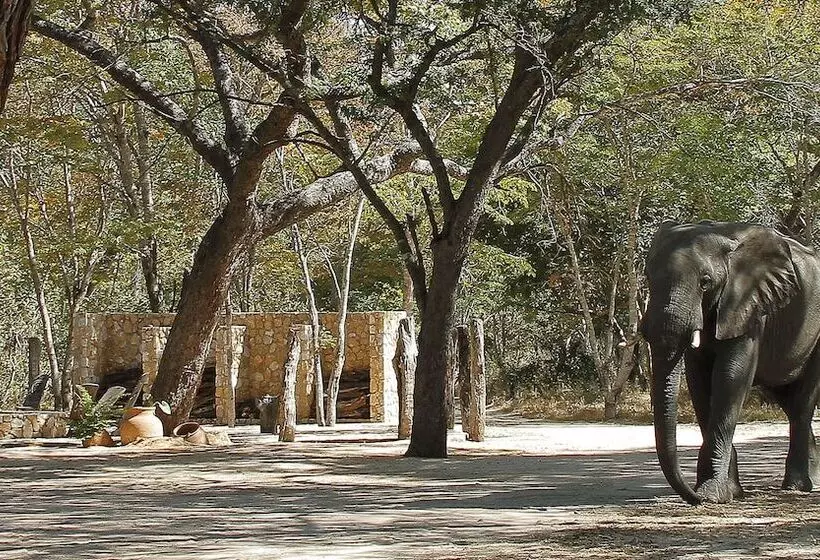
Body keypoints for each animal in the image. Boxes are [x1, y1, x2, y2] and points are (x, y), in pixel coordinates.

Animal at [642, 220, 820, 504]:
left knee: (802, 403)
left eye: (705, 282)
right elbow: (700, 383)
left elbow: (730, 378)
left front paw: (711, 493)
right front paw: (727, 491)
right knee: (788, 400)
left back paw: (798, 486)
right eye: (647, 277)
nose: (693, 497)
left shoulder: (748, 303)